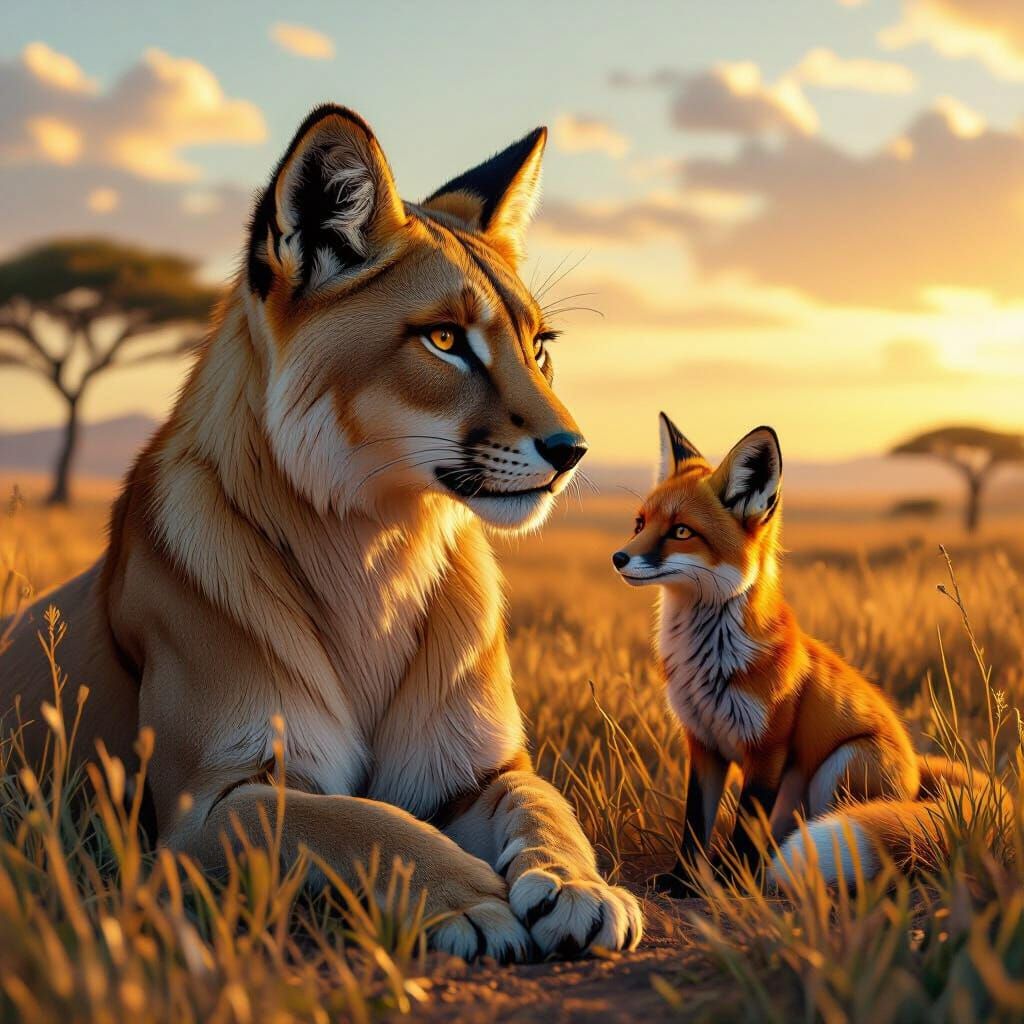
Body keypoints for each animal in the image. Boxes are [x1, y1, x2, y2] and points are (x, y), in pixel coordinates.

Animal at [0, 105, 642, 961]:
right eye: (446, 340)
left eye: (538, 347)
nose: (572, 451)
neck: (376, 549)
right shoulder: (206, 807)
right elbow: (358, 820)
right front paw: (474, 901)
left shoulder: (477, 769)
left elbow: (545, 802)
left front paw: (580, 888)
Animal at [612, 412, 993, 893]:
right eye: (639, 524)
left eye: (681, 532)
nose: (618, 557)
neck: (707, 664)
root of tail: (916, 774)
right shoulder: (702, 742)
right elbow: (694, 827)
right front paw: (684, 882)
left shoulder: (767, 748)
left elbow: (745, 828)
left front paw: (735, 887)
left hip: (841, 764)